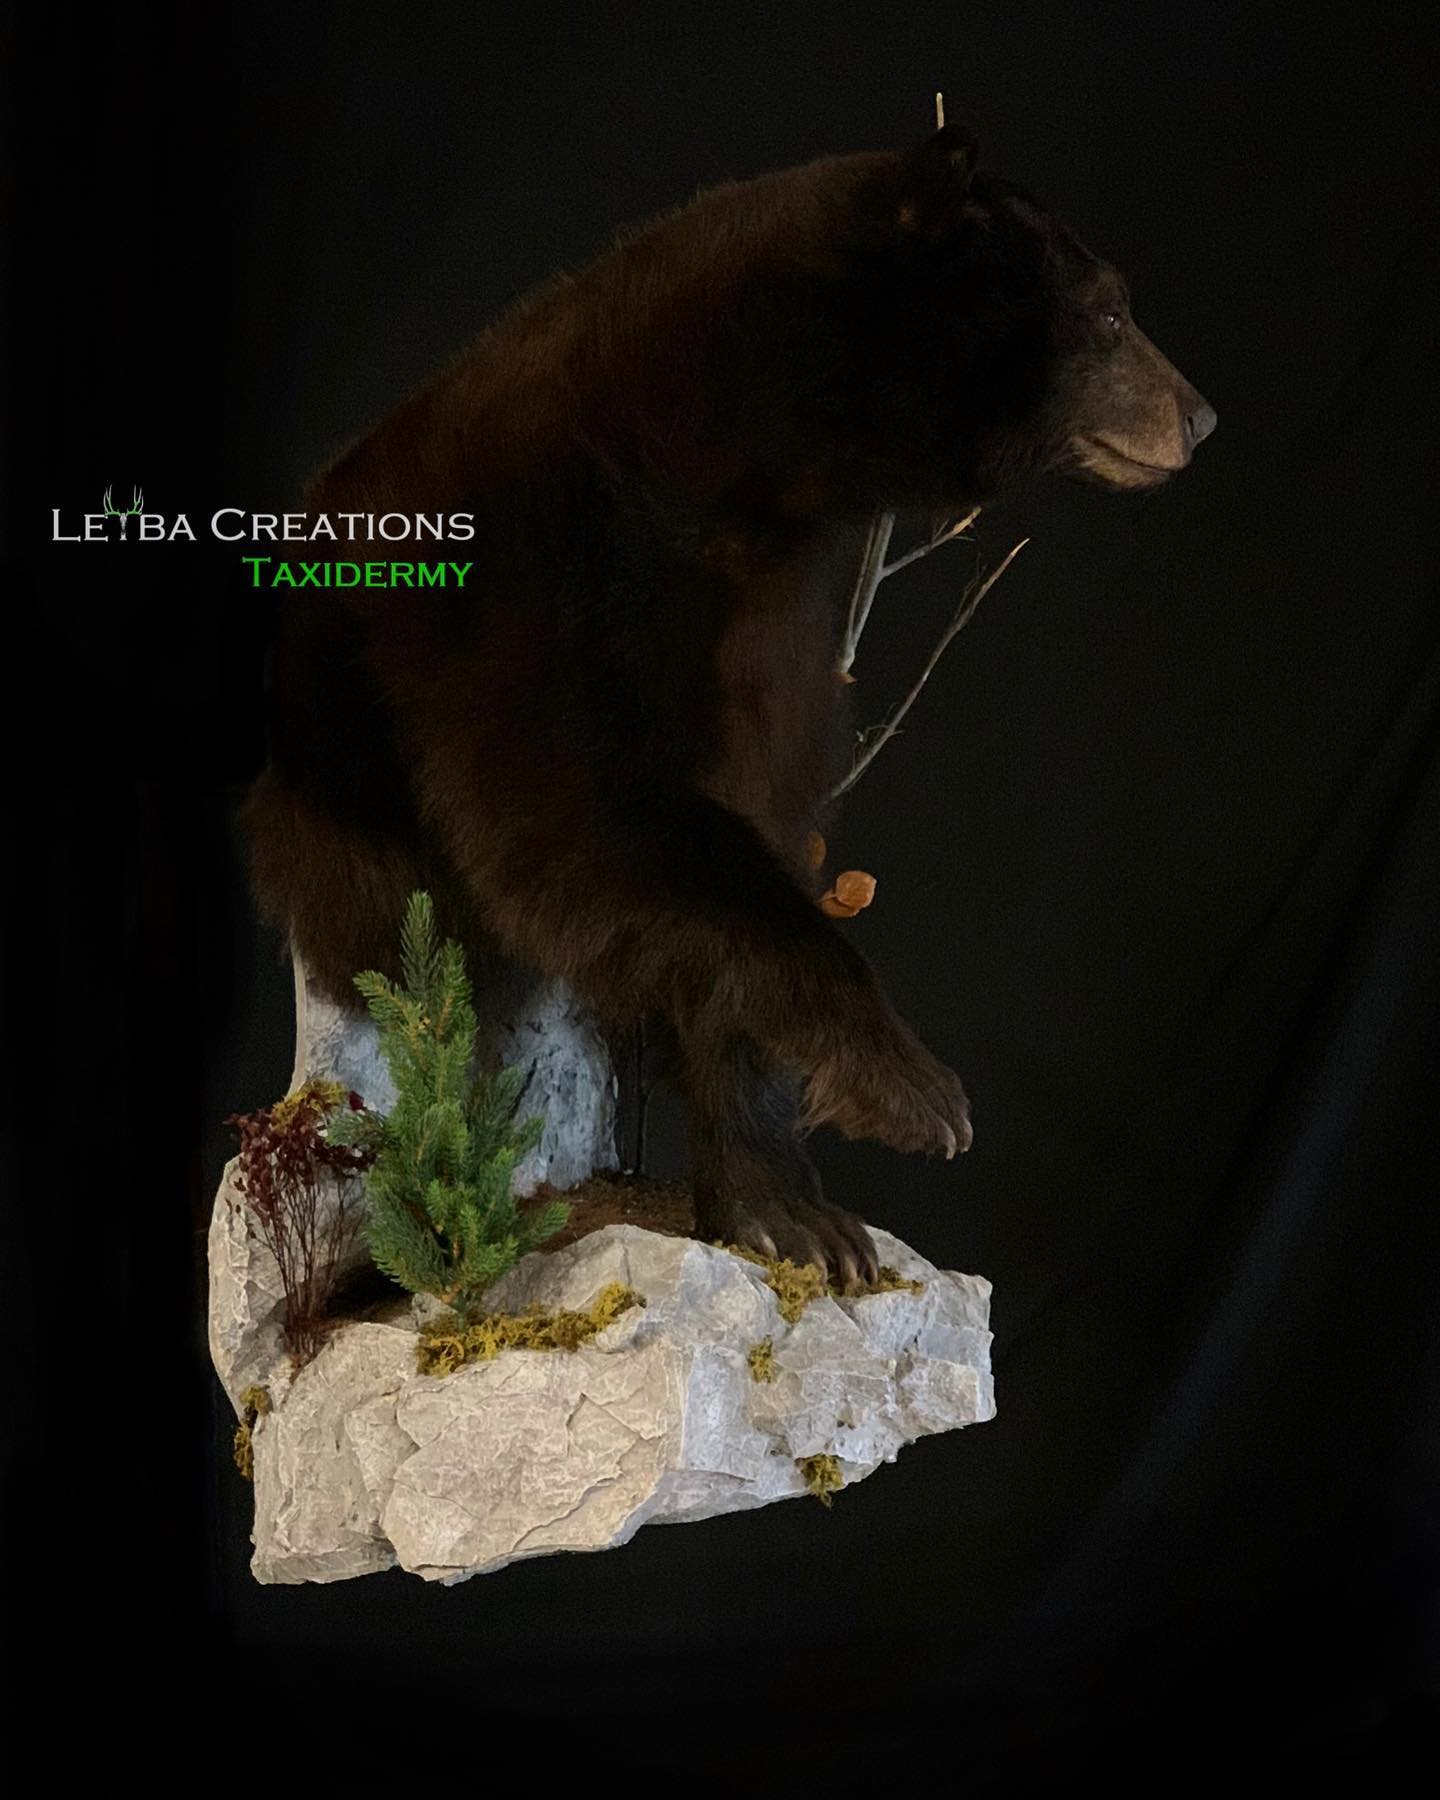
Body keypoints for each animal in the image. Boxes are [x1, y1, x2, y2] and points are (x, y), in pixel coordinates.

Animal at [243, 123, 1216, 1283]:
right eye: (1110, 313)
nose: (1201, 416)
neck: (732, 454)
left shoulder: (772, 621)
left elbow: (741, 834)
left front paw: (790, 1208)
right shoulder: (545, 585)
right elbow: (578, 819)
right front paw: (913, 1086)